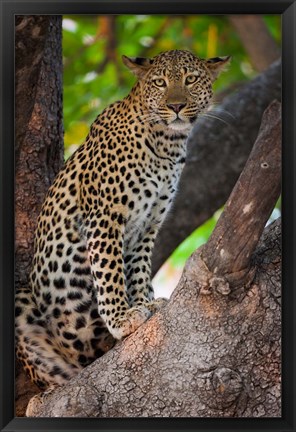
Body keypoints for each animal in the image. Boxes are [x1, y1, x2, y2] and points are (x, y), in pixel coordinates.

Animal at [15, 49, 230, 416]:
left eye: (191, 80)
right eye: (159, 82)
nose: (175, 105)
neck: (167, 145)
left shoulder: (149, 225)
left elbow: (137, 270)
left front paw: (144, 303)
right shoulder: (106, 216)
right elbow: (110, 271)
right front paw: (121, 318)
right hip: (26, 307)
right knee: (65, 370)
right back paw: (47, 393)